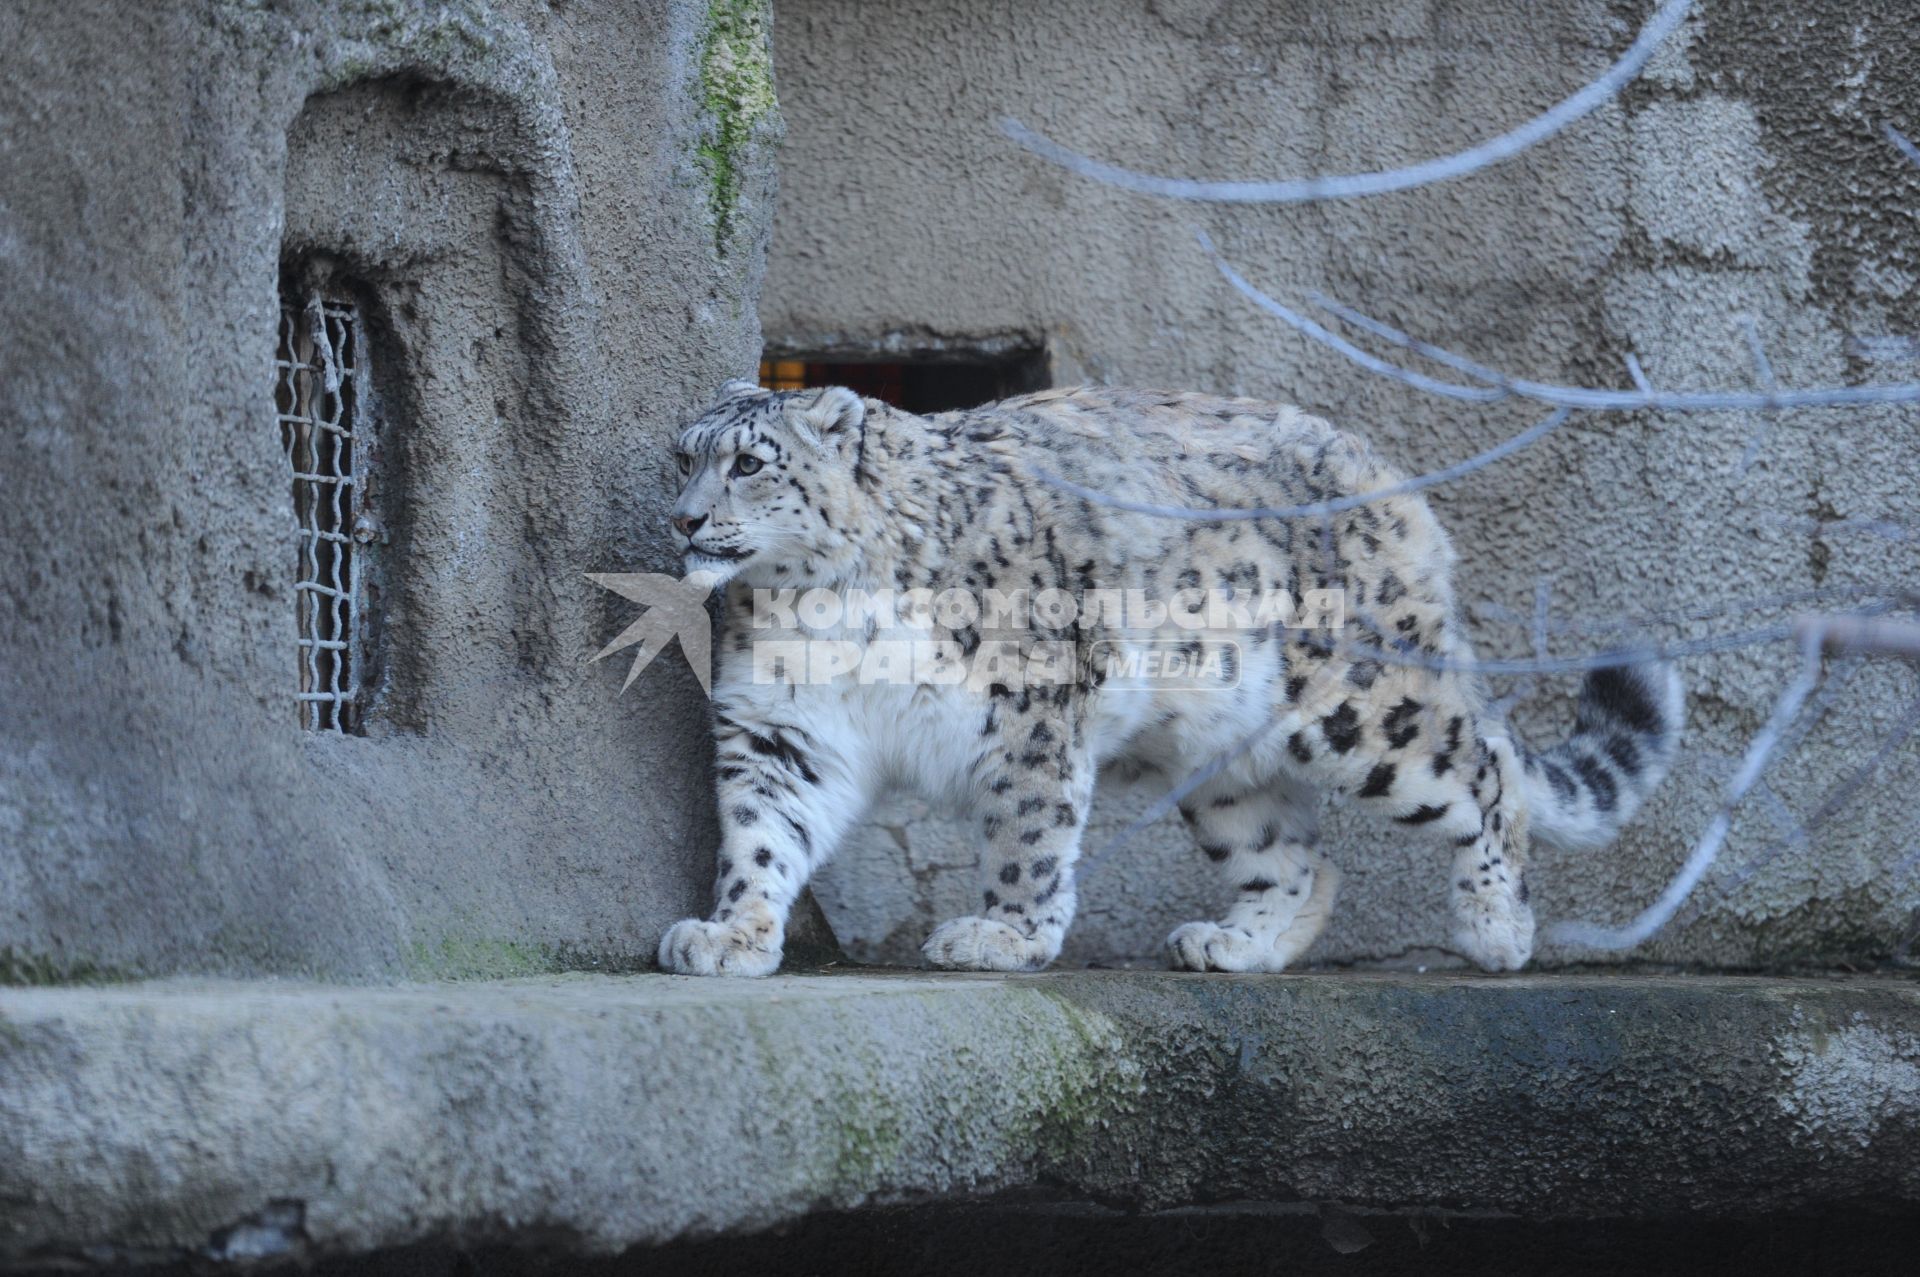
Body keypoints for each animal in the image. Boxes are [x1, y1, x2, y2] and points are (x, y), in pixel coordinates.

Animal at [660, 378, 1681, 975]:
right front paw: (730, 933)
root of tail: (1386, 476)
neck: (817, 604)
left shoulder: (1029, 707)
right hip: (1223, 752)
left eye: (748, 461)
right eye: (682, 456)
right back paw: (1237, 941)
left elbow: (1027, 828)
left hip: (1361, 703)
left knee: (1484, 768)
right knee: (1295, 854)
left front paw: (1004, 934)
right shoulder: (785, 726)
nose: (683, 519)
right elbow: (762, 833)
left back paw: (1495, 930)